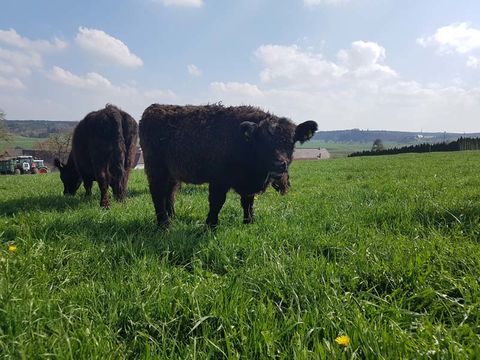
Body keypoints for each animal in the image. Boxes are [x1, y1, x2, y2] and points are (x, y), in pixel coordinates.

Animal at [140, 104, 318, 228]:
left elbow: (248, 202)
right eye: (262, 141)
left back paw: (172, 217)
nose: (278, 163)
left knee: (169, 193)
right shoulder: (219, 179)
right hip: (155, 168)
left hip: (172, 172)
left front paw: (249, 222)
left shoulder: (247, 184)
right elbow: (217, 202)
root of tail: (154, 107)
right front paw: (211, 226)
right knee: (158, 194)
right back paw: (164, 224)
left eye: (291, 141)